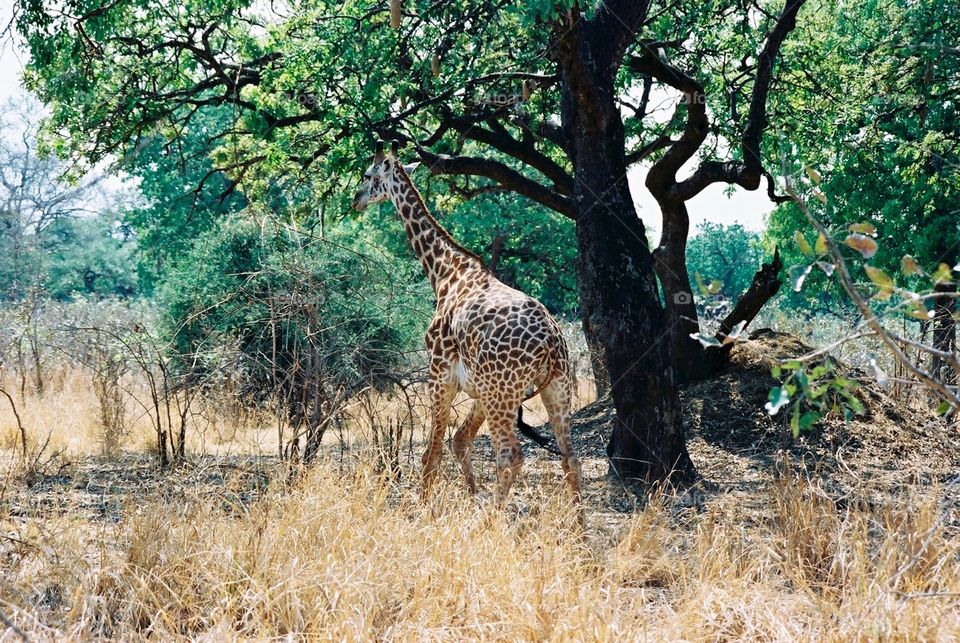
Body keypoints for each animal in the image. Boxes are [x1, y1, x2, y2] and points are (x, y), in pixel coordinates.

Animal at [350, 141, 580, 520]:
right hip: (553, 387)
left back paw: (493, 523)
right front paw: (470, 498)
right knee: (570, 457)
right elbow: (459, 442)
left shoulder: (439, 373)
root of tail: (550, 340)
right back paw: (579, 529)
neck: (445, 273)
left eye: (369, 175)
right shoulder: (476, 388)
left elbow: (432, 454)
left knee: (510, 455)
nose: (356, 199)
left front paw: (423, 510)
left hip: (504, 392)